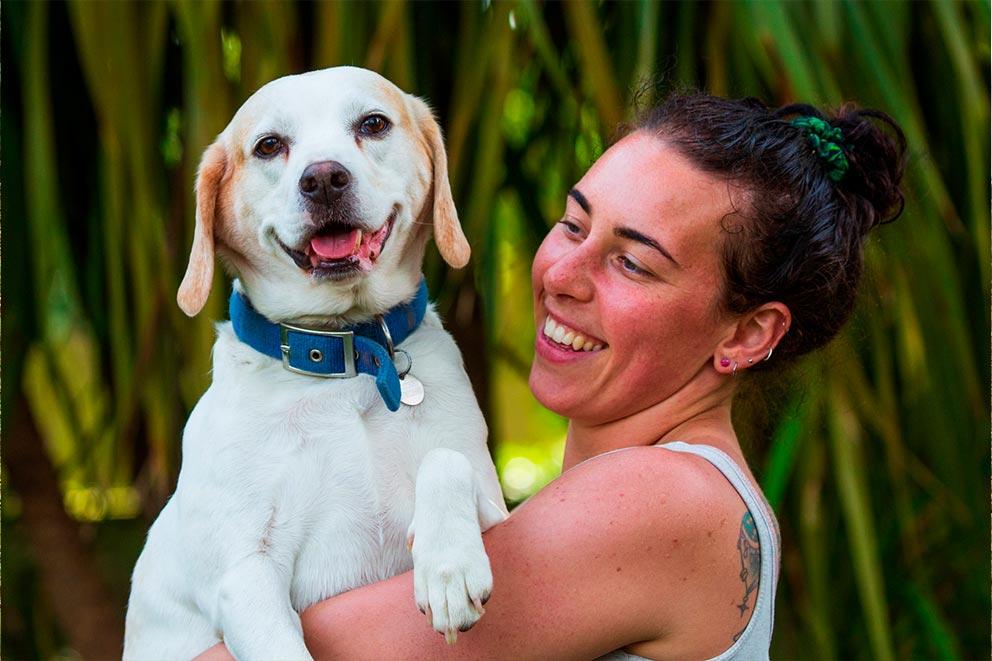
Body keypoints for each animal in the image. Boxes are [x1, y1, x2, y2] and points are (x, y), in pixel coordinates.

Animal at [124, 67, 508, 660]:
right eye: (268, 145)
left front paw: (449, 567)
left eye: (373, 124)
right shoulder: (244, 575)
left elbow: (446, 462)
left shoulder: (499, 510)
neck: (344, 361)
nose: (324, 178)